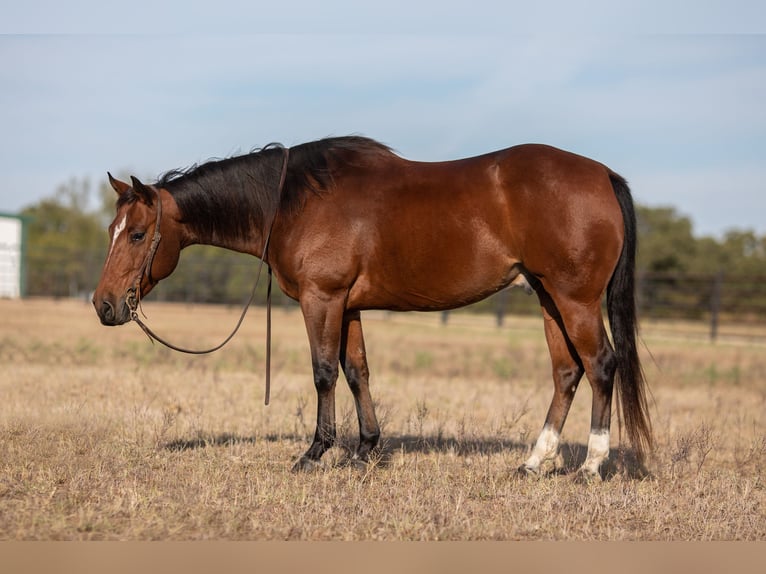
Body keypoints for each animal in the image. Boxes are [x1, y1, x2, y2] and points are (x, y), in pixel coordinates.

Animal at [93, 136, 652, 482]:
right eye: (111, 231)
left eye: (137, 234)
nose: (104, 305)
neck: (292, 202)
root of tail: (602, 175)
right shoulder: (348, 307)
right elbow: (357, 371)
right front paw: (367, 450)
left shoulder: (322, 299)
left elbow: (323, 372)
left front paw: (315, 453)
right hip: (547, 298)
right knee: (567, 373)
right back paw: (534, 462)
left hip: (574, 300)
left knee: (601, 366)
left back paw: (591, 466)